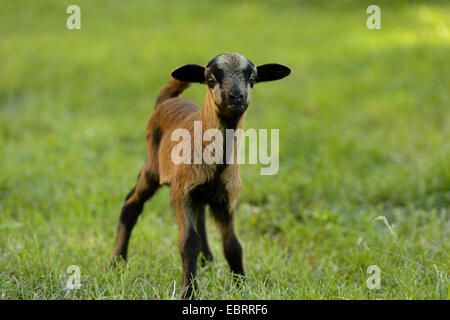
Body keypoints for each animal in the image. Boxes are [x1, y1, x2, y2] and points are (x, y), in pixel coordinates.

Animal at [110, 51, 290, 298]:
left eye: (253, 79)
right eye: (210, 79)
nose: (236, 96)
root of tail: (165, 101)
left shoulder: (226, 197)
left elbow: (233, 245)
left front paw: (241, 286)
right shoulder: (182, 192)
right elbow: (188, 242)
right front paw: (190, 292)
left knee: (200, 216)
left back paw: (208, 260)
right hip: (152, 168)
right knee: (131, 204)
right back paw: (117, 260)